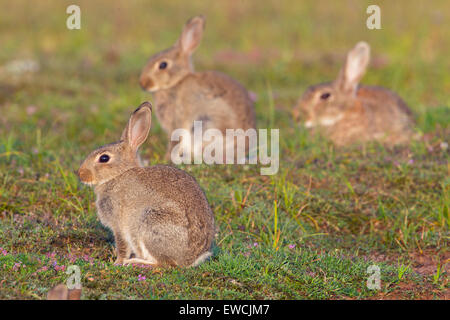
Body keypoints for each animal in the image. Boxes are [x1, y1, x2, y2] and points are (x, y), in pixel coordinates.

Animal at [78, 102, 216, 268]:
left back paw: (135, 262)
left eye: (104, 158)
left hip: (149, 223)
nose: (80, 174)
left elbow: (122, 246)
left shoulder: (119, 225)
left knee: (164, 264)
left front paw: (118, 262)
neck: (118, 175)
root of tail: (191, 260)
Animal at [139, 15, 255, 160]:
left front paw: (166, 158)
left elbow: (174, 141)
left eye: (163, 65)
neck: (177, 82)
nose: (143, 83)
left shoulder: (177, 121)